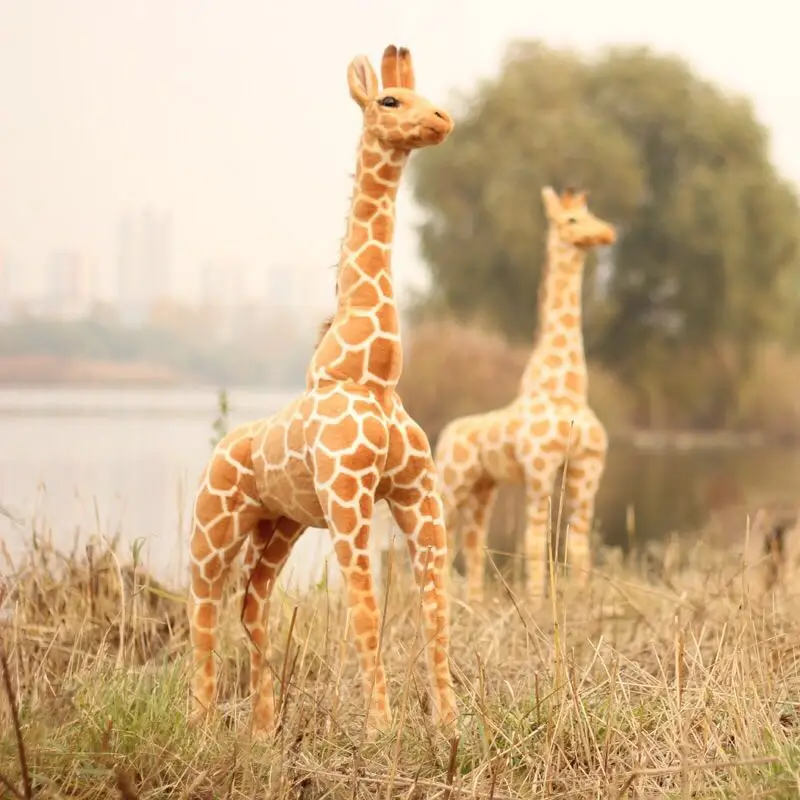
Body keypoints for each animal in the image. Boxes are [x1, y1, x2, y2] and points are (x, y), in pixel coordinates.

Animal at [187, 44, 457, 739]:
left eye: (425, 95)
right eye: (390, 99)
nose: (442, 120)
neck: (371, 372)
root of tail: (221, 450)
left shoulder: (416, 493)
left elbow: (436, 607)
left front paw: (451, 724)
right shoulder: (349, 497)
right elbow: (366, 613)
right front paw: (382, 729)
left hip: (278, 526)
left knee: (251, 604)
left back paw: (262, 731)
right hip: (213, 523)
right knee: (202, 608)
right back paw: (200, 724)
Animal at [434, 187, 617, 602]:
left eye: (592, 212)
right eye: (571, 220)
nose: (608, 233)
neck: (566, 392)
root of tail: (446, 431)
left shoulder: (587, 469)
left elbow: (578, 542)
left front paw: (580, 599)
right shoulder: (539, 469)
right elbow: (535, 541)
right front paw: (536, 601)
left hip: (483, 488)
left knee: (471, 540)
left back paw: (473, 602)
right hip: (452, 481)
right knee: (441, 536)